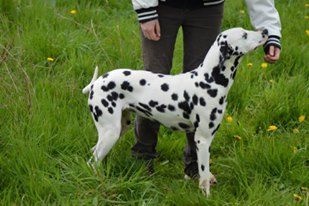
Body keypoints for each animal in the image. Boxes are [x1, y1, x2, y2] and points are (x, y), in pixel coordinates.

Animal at [82, 27, 268, 196]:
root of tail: (95, 83)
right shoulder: (203, 139)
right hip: (110, 133)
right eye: (244, 34)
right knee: (93, 161)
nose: (265, 31)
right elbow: (204, 175)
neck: (209, 80)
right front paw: (207, 196)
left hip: (119, 128)